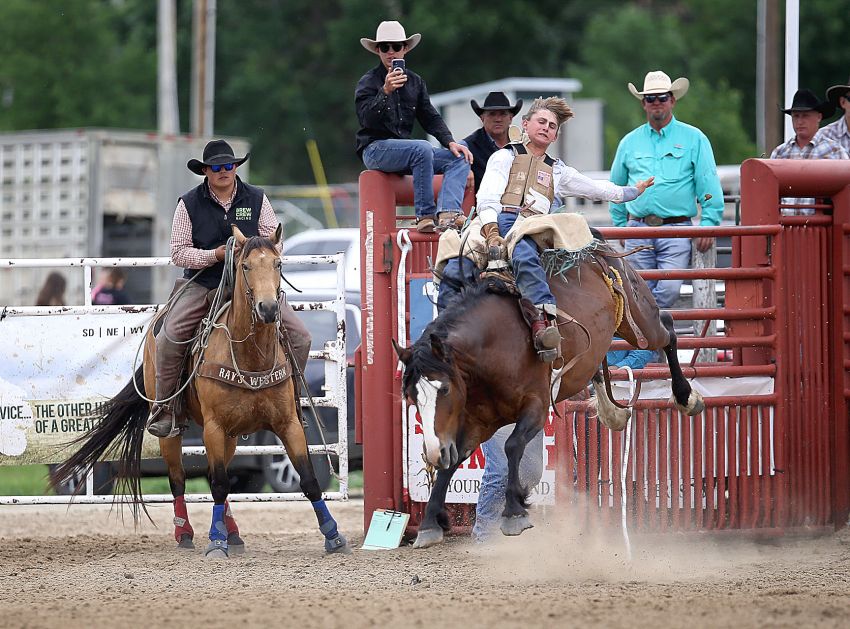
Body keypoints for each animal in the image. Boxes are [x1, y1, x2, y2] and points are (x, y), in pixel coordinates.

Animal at [52, 224, 348, 556]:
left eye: (278, 264)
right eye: (245, 266)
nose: (269, 308)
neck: (252, 356)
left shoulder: (288, 424)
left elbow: (307, 479)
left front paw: (333, 535)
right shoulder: (213, 428)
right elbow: (217, 484)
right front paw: (216, 541)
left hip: (231, 436)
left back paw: (234, 534)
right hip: (172, 427)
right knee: (178, 479)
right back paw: (186, 533)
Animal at [392, 243, 704, 548]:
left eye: (444, 388)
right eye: (411, 397)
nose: (434, 451)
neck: (493, 348)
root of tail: (598, 248)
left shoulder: (537, 406)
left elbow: (513, 445)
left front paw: (514, 512)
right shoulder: (477, 423)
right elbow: (453, 461)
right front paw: (431, 523)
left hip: (639, 321)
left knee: (667, 328)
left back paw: (686, 397)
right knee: (597, 367)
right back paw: (612, 413)